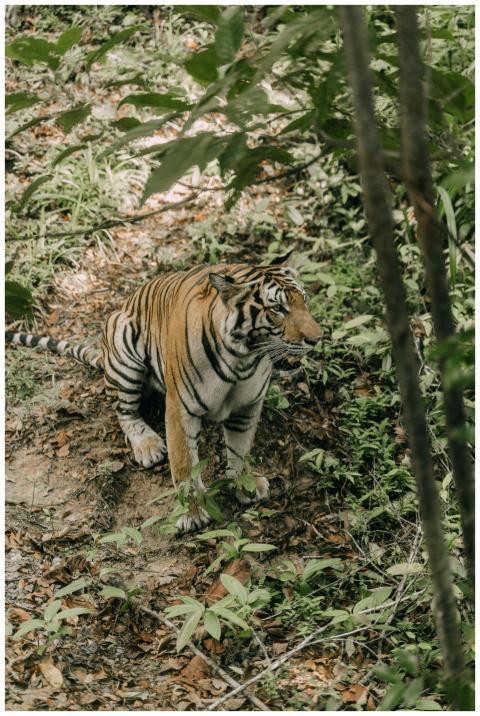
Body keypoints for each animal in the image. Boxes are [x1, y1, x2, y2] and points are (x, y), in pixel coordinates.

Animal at [5, 254, 322, 531]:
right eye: (277, 309)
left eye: (305, 300)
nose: (317, 339)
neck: (244, 359)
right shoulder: (181, 408)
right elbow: (183, 465)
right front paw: (192, 513)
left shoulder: (248, 406)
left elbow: (240, 451)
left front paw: (245, 485)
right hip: (124, 346)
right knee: (124, 411)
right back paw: (147, 446)